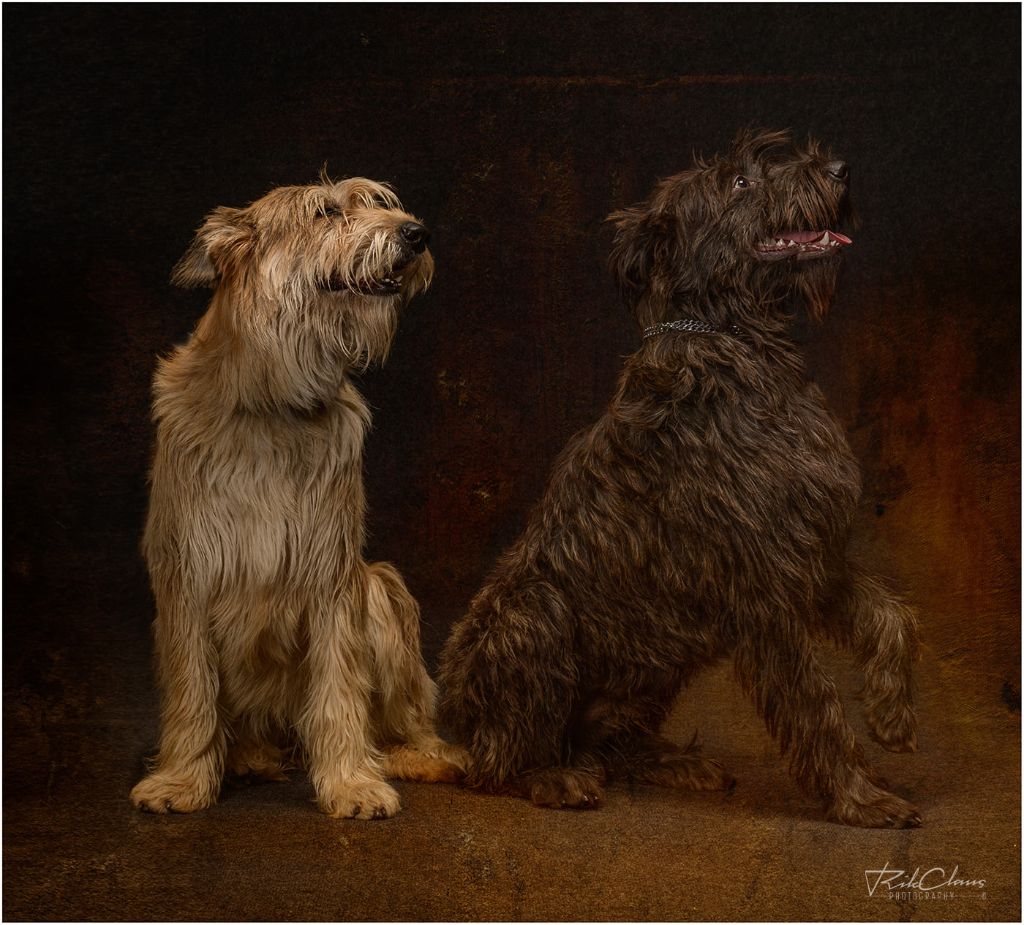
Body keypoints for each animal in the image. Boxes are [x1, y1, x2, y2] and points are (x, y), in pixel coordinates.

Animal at [131, 177, 464, 819]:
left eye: (379, 200)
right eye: (324, 211)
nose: (417, 233)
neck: (269, 403)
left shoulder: (331, 573)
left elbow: (339, 687)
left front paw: (351, 783)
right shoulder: (185, 572)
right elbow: (191, 688)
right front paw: (181, 780)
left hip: (380, 591)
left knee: (409, 715)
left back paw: (419, 757)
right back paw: (248, 758)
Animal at [438, 132, 921, 831]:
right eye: (740, 183)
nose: (840, 169)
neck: (736, 344)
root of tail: (451, 717)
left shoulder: (812, 558)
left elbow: (892, 616)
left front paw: (892, 715)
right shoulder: (763, 594)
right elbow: (814, 704)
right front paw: (859, 796)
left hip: (655, 664)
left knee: (607, 744)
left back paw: (670, 762)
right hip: (534, 616)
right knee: (497, 765)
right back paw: (553, 778)